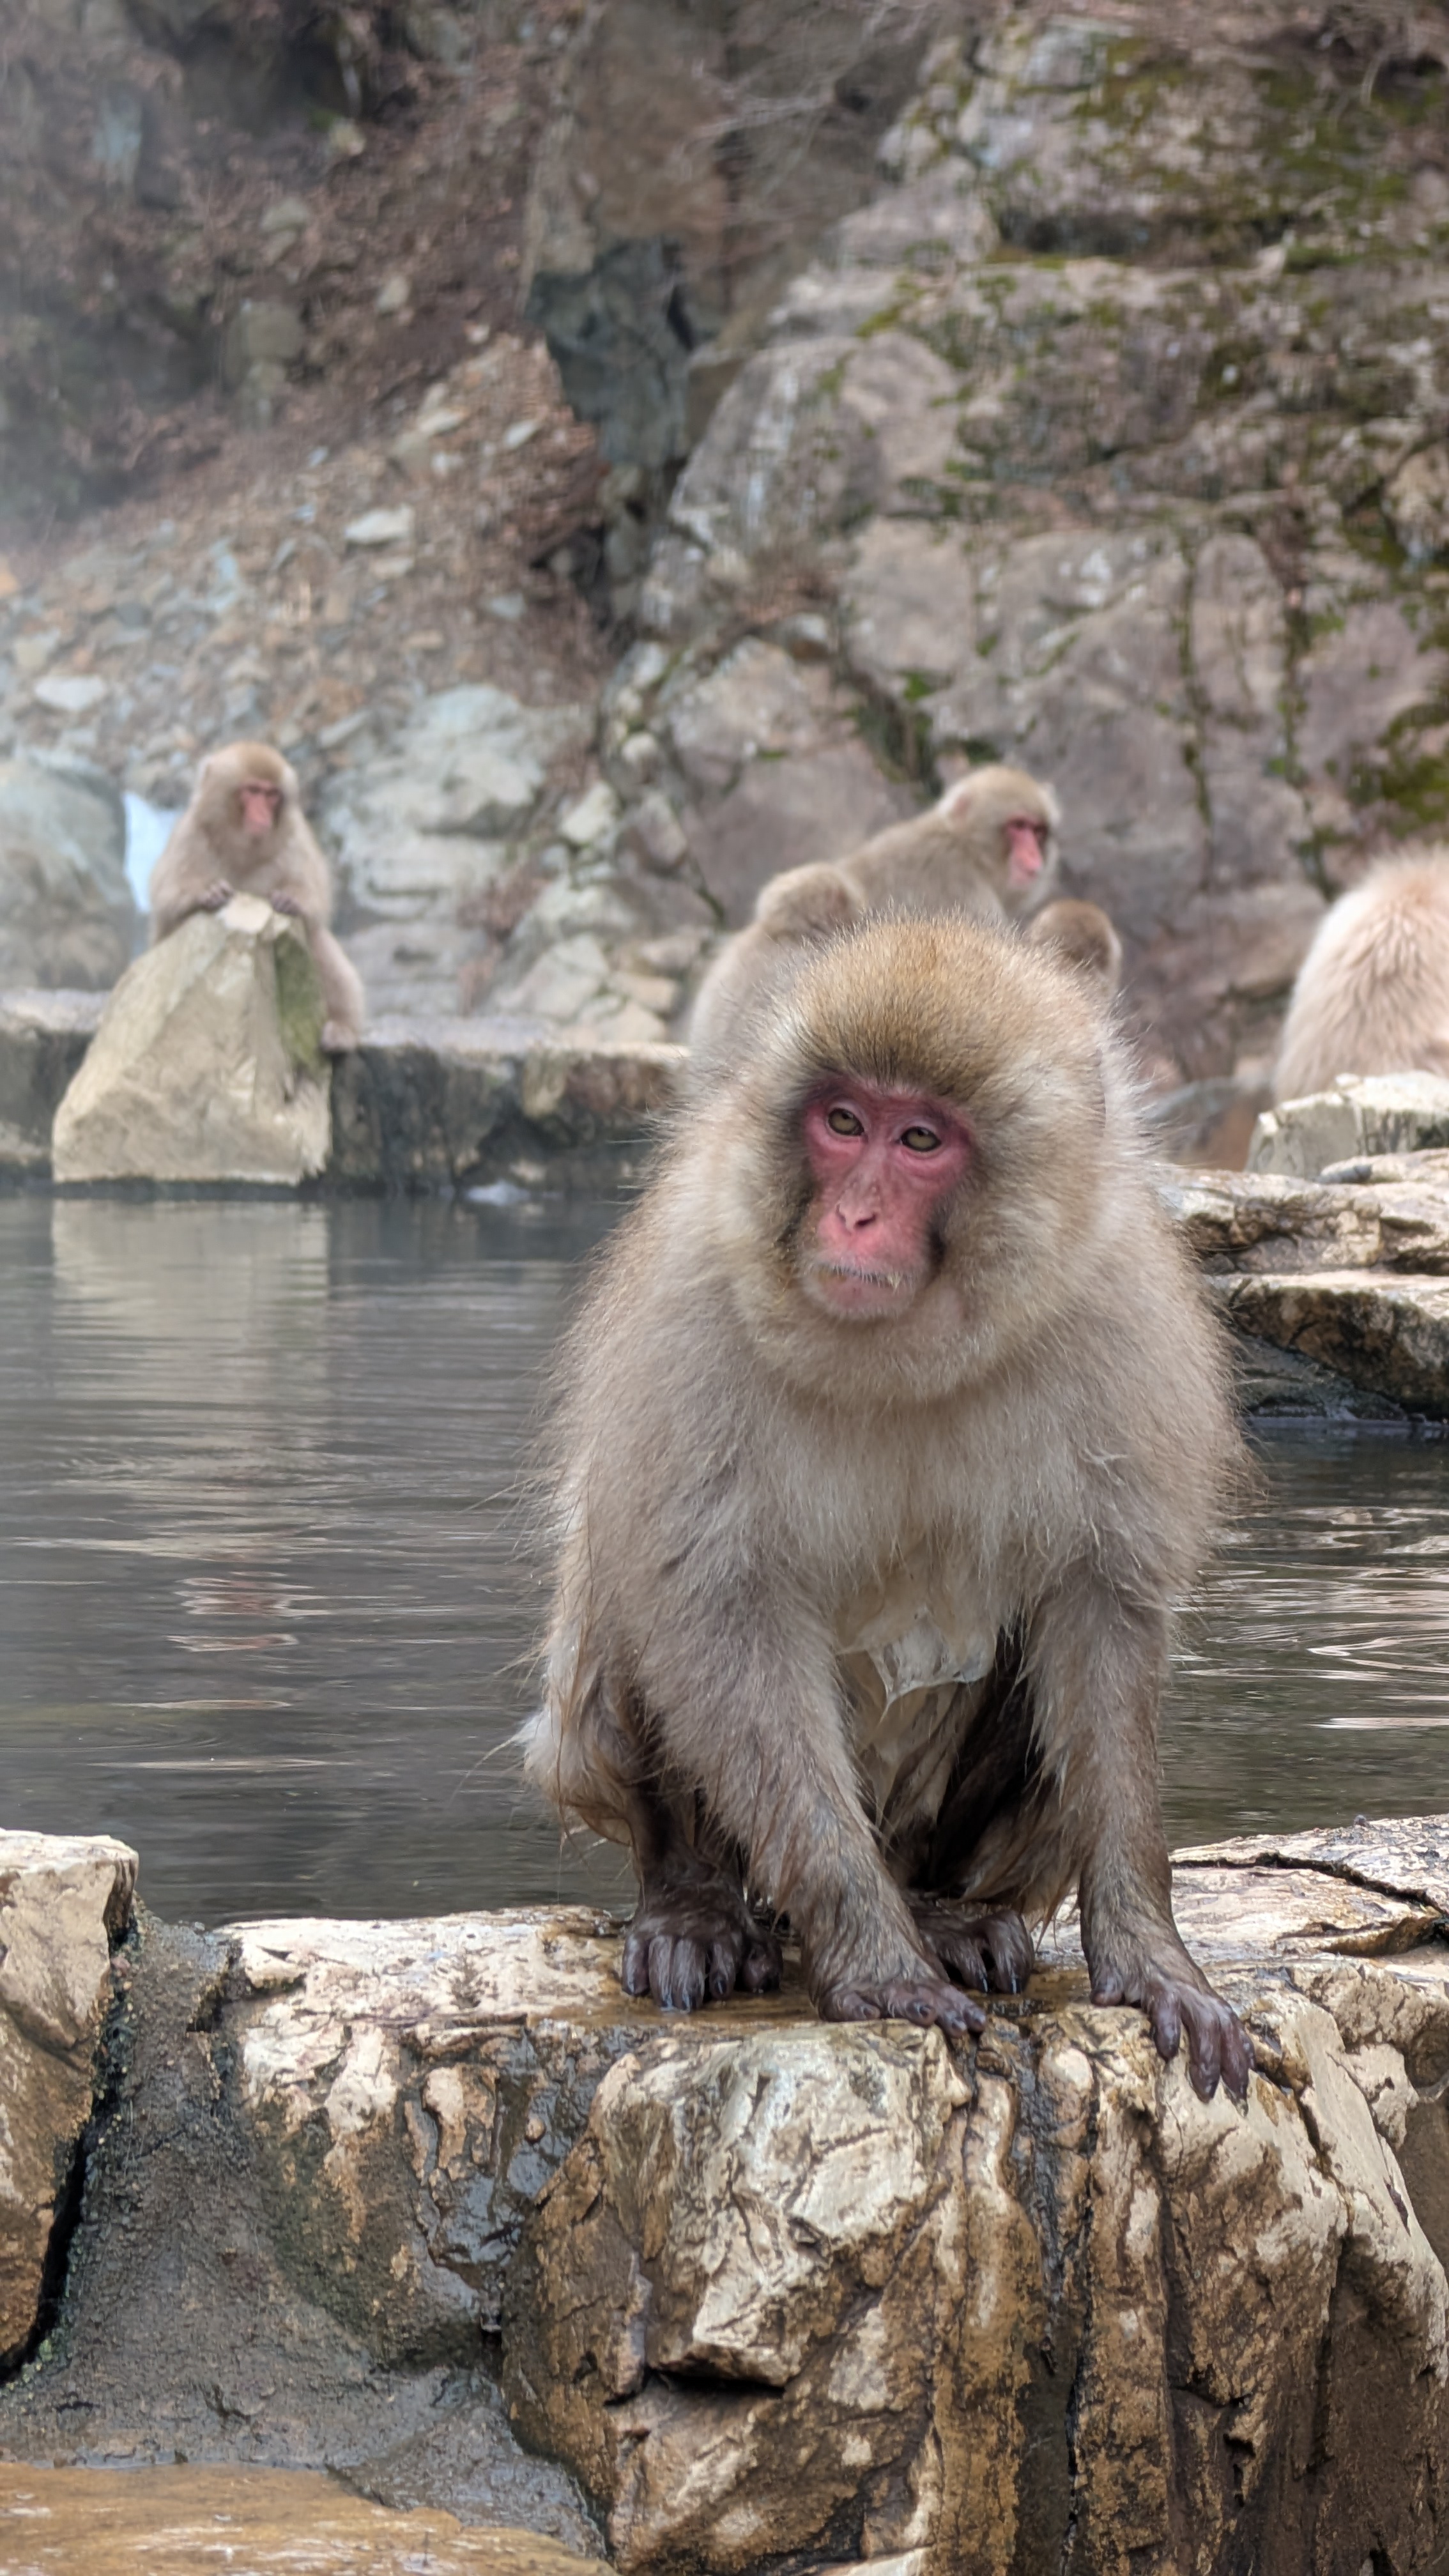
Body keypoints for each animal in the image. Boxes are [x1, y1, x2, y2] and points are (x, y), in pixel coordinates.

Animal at [148, 742, 365, 1053]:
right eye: (252, 791)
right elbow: (167, 901)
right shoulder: (190, 836)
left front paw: (293, 900)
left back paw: (342, 1028)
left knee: (315, 940)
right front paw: (205, 893)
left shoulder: (295, 840)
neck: (243, 848)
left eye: (272, 795)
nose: (263, 815)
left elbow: (314, 900)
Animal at [527, 915, 1252, 2104]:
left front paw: (1150, 1951)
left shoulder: (1120, 1317)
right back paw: (695, 1905)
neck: (911, 1349)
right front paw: (871, 1963)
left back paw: (943, 1912)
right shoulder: (690, 1297)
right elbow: (719, 1610)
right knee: (639, 1582)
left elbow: (1098, 1609)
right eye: (840, 1122)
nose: (854, 1214)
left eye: (919, 1140)